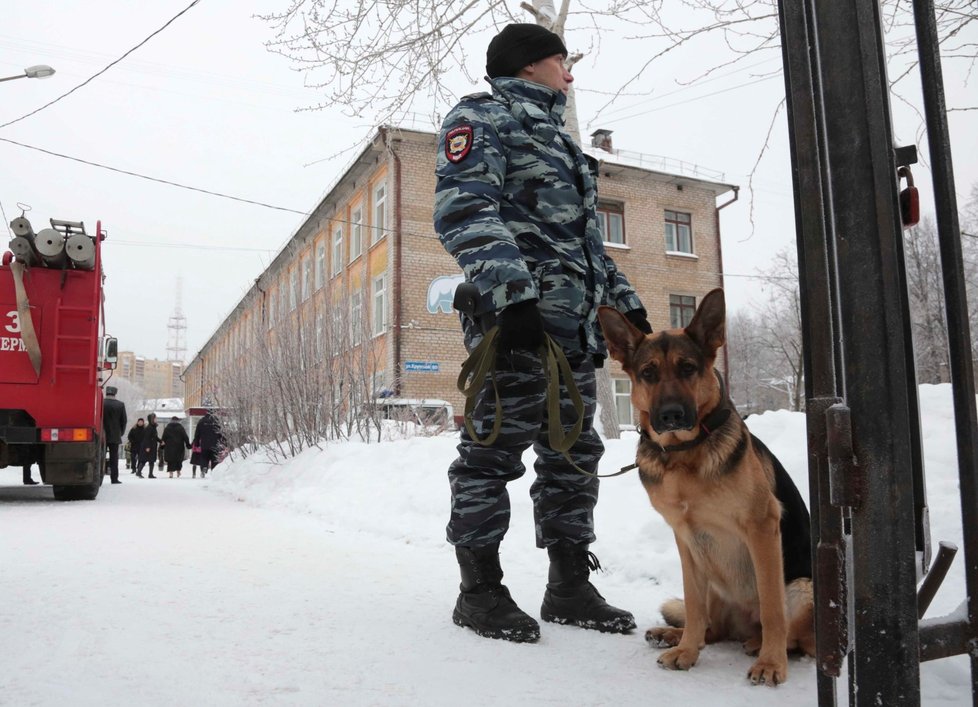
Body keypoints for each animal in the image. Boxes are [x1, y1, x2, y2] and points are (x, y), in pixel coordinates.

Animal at [596, 288, 816, 684]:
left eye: (688, 368)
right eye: (648, 373)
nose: (670, 415)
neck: (684, 455)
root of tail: (743, 626)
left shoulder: (762, 527)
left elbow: (773, 607)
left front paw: (771, 662)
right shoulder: (685, 539)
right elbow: (694, 605)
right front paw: (686, 651)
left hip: (803, 587)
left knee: (796, 637)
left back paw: (760, 647)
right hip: (711, 575)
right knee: (712, 627)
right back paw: (676, 635)